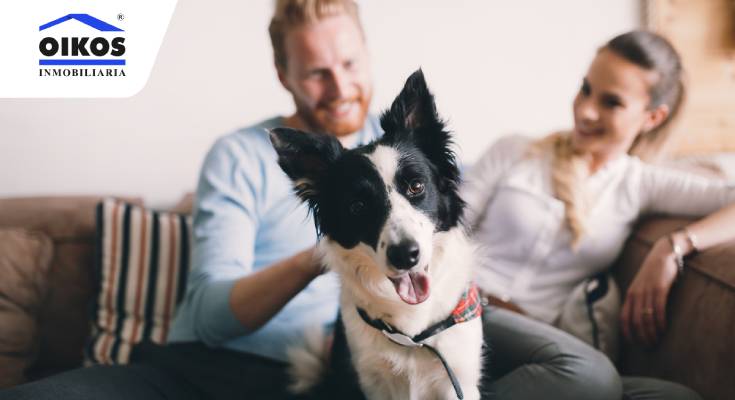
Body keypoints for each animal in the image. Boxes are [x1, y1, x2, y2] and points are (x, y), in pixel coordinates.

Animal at [270, 69, 484, 400]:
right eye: (357, 206)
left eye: (416, 186)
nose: (406, 255)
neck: (414, 334)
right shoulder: (371, 380)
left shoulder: (456, 378)